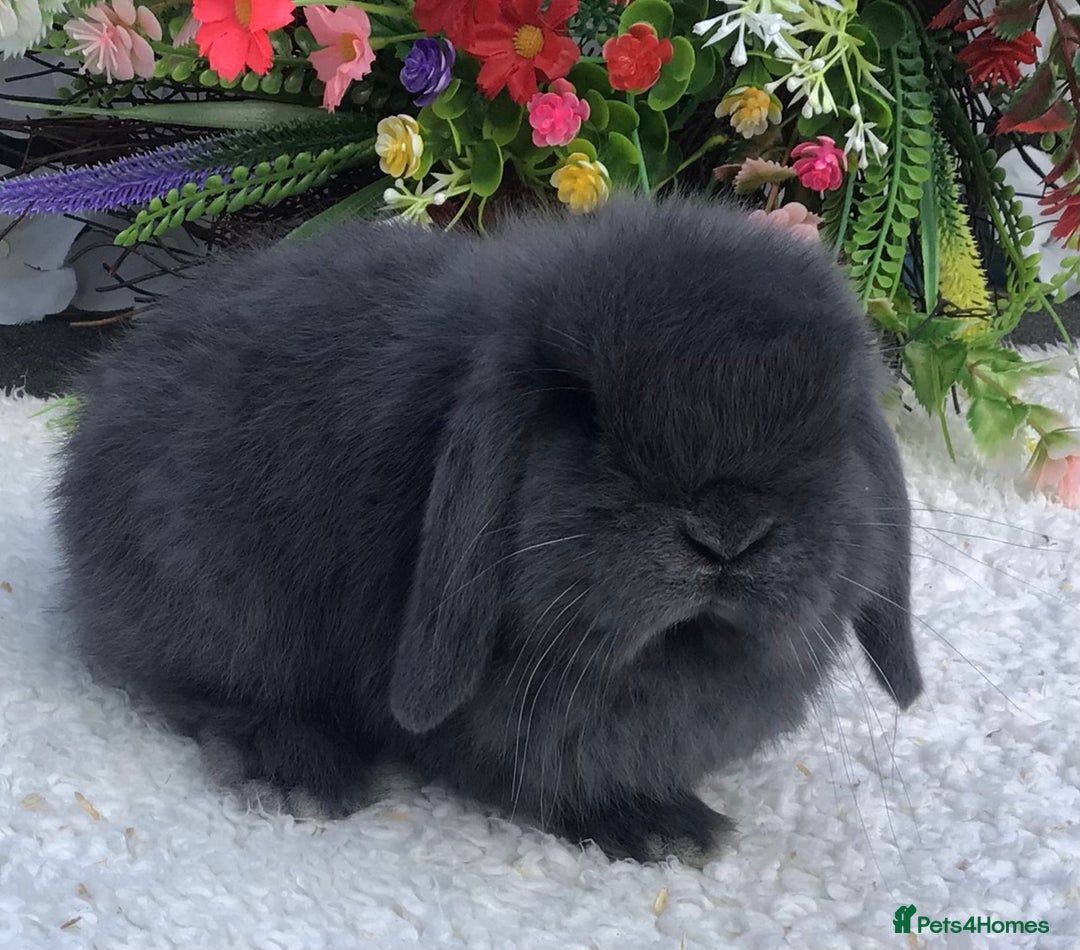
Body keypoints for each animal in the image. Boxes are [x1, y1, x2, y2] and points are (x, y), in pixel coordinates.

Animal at [54, 196, 921, 865]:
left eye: (829, 426)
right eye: (583, 410)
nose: (727, 532)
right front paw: (659, 830)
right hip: (217, 603)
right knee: (207, 694)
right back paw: (303, 772)